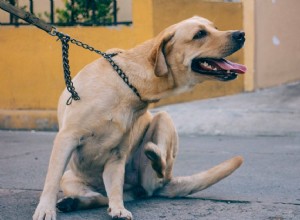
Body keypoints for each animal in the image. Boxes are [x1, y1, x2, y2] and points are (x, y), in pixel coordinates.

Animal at [33, 16, 246, 219]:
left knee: (155, 172)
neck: (127, 83)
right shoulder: (66, 138)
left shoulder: (117, 155)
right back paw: (73, 202)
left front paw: (118, 209)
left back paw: (153, 157)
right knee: (97, 195)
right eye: (199, 34)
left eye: (215, 28)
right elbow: (51, 181)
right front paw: (45, 209)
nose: (241, 34)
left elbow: (115, 189)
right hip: (70, 178)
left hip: (163, 120)